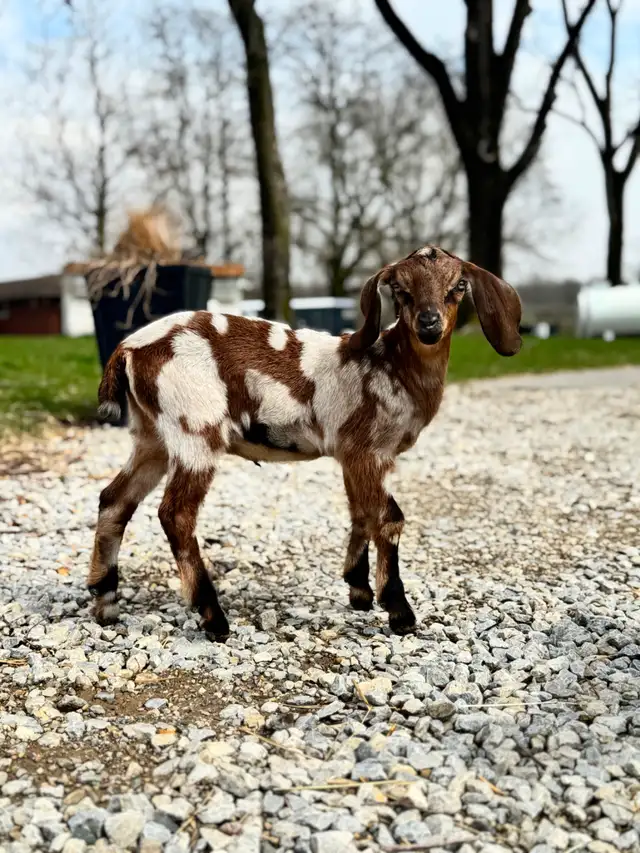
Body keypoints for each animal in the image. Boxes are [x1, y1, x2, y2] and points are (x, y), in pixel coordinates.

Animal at [89, 246, 521, 639]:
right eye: (399, 289)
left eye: (458, 286)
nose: (429, 325)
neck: (390, 366)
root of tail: (127, 349)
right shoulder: (369, 450)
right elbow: (388, 518)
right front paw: (399, 611)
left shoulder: (351, 454)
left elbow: (361, 513)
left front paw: (359, 591)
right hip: (195, 428)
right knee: (175, 513)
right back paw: (213, 617)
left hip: (152, 436)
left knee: (115, 499)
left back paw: (104, 600)